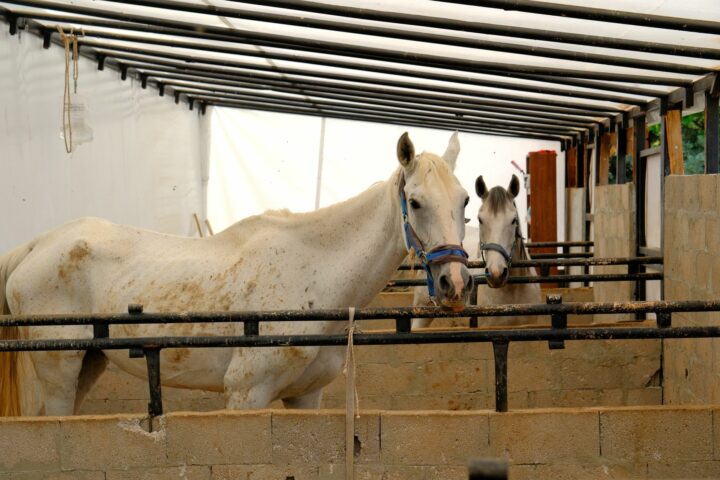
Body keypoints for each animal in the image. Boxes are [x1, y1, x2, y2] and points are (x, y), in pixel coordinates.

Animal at [0, 132, 473, 416]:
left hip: (88, 364)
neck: (314, 275)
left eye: (465, 200)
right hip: (59, 372)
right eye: (415, 202)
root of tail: (36, 245)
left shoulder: (306, 397)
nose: (453, 283)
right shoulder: (246, 396)